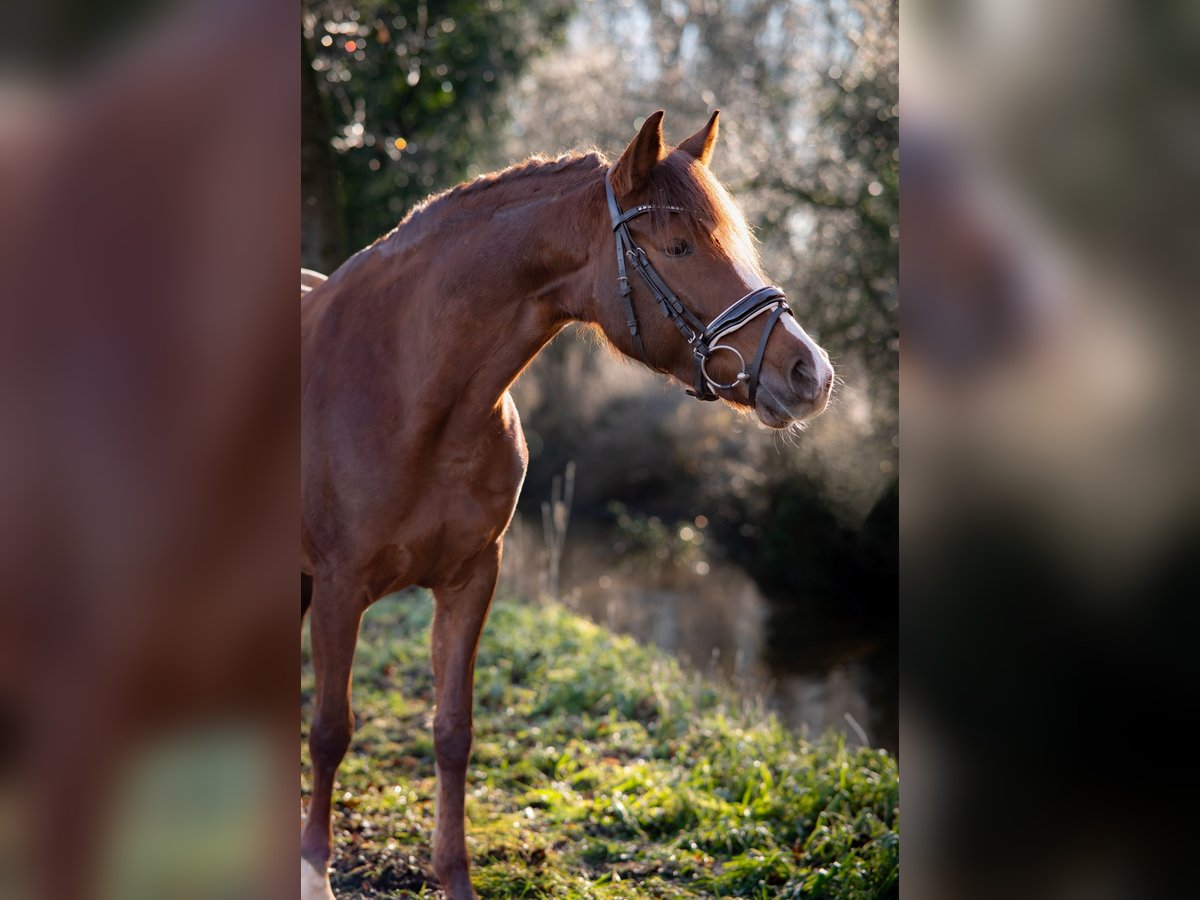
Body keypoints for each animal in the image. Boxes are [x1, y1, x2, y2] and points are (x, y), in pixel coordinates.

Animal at [297, 112, 835, 900]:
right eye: (678, 246)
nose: (810, 373)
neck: (410, 390)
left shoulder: (471, 580)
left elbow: (452, 732)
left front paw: (455, 878)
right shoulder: (341, 588)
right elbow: (331, 730)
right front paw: (314, 872)